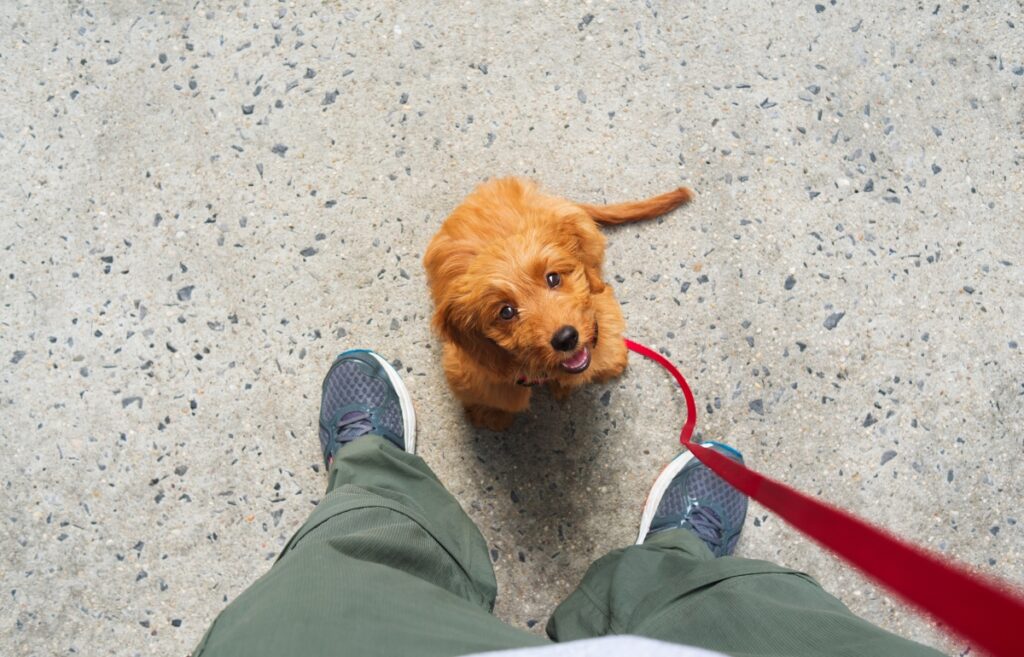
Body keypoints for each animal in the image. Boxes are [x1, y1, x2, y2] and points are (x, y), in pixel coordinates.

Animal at [419, 174, 692, 429]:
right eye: (506, 312)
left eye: (553, 278)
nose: (566, 338)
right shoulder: (474, 371)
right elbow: (494, 397)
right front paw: (490, 415)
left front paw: (609, 363)